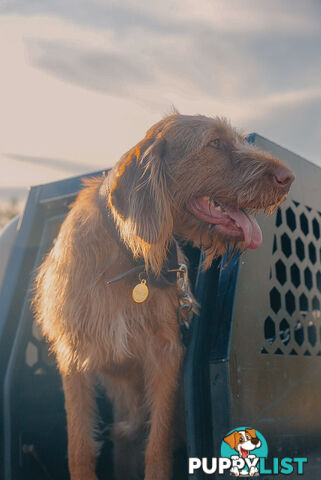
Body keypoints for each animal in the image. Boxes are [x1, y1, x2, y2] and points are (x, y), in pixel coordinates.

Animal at [32, 113, 292, 480]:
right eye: (215, 143)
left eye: (240, 140)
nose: (288, 177)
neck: (128, 255)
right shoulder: (74, 356)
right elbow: (79, 447)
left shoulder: (164, 353)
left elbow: (158, 444)